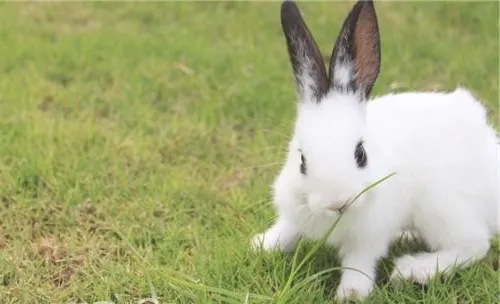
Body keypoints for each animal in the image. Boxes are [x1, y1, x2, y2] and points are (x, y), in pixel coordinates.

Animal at [252, 0, 498, 300]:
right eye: (302, 161)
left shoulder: (368, 237)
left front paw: (351, 294)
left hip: (443, 208)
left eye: (361, 155)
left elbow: (359, 263)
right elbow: (286, 230)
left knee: (474, 244)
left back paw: (414, 270)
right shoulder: (293, 213)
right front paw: (263, 245)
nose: (337, 203)